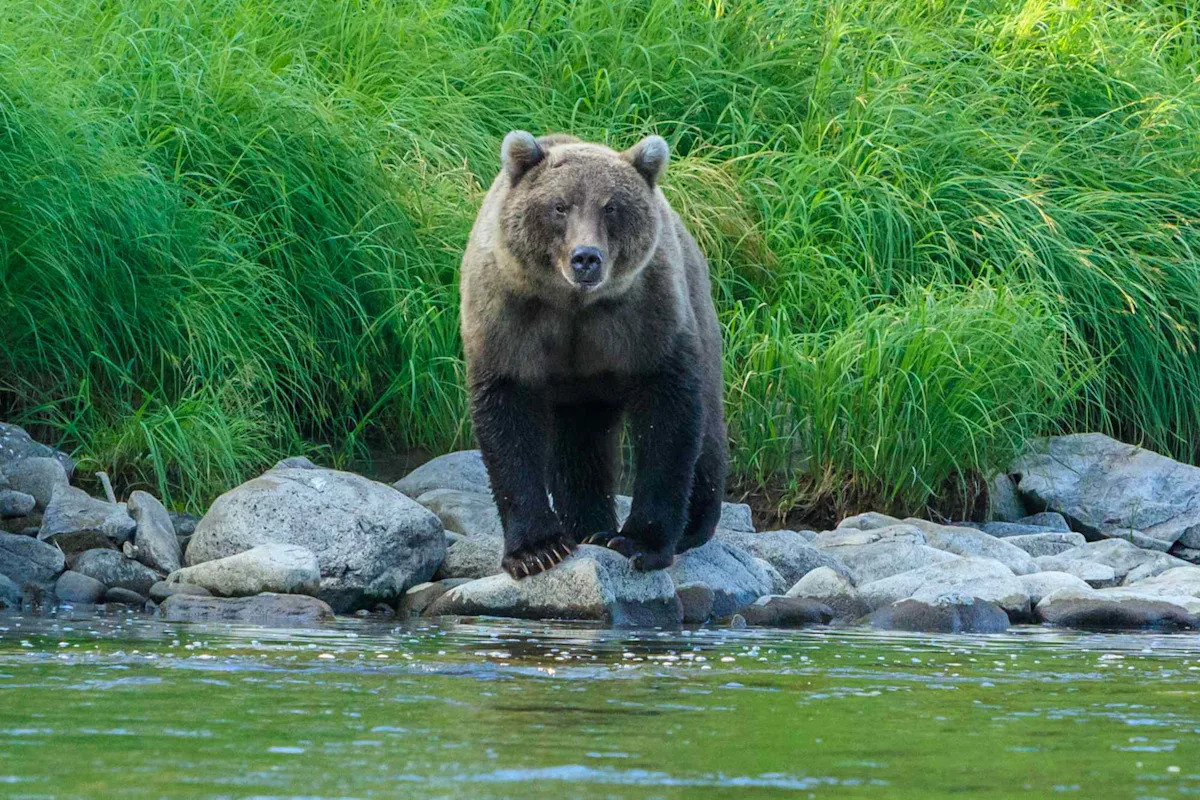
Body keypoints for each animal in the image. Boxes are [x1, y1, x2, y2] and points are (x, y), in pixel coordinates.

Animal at [459, 131, 727, 579]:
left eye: (611, 207)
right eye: (559, 206)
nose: (586, 257)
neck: (574, 306)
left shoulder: (645, 315)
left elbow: (667, 415)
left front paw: (640, 542)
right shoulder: (509, 316)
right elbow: (508, 419)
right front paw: (537, 549)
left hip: (699, 312)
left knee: (705, 430)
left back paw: (691, 524)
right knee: (581, 447)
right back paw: (586, 526)